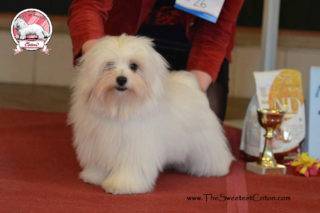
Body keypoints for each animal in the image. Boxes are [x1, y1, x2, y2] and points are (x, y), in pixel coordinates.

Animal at [69, 33, 234, 195]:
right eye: (109, 65)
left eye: (134, 66)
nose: (121, 79)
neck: (120, 107)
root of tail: (190, 85)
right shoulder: (99, 145)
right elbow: (100, 164)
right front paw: (94, 176)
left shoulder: (136, 148)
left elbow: (131, 169)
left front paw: (123, 184)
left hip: (204, 138)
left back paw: (216, 168)